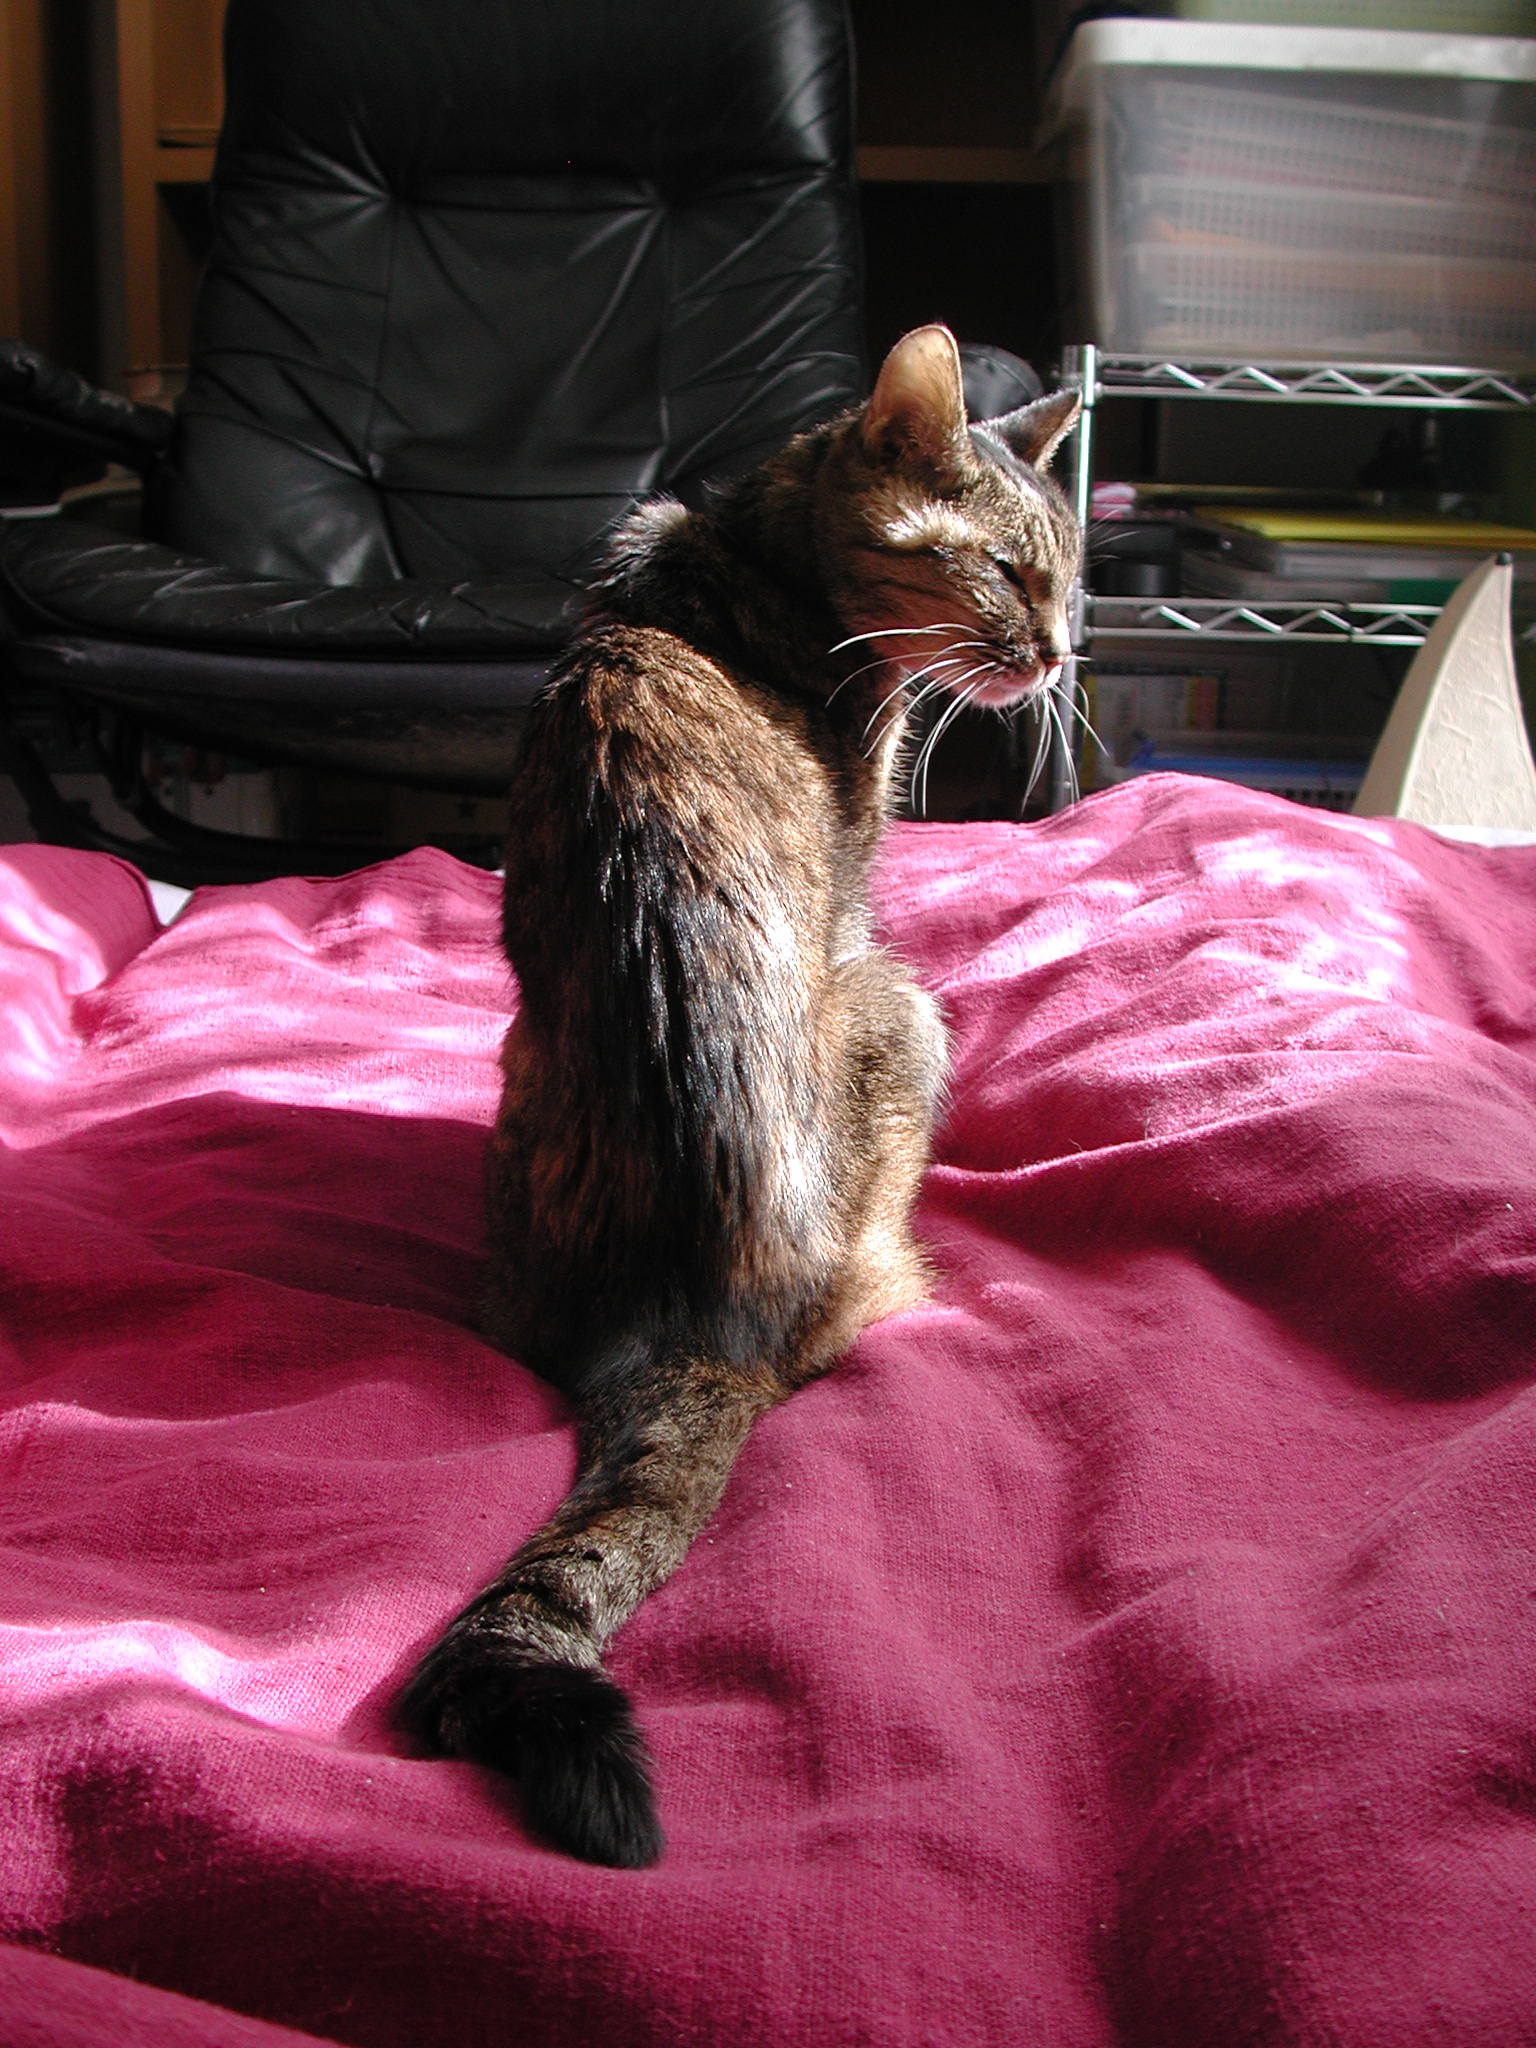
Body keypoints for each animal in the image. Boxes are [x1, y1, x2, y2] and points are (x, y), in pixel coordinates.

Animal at [403, 323, 1089, 1875]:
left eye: (1071, 574)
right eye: (1008, 571)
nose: (1062, 650)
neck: (758, 547)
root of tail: (685, 1317)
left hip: (515, 1081)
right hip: (909, 1009)